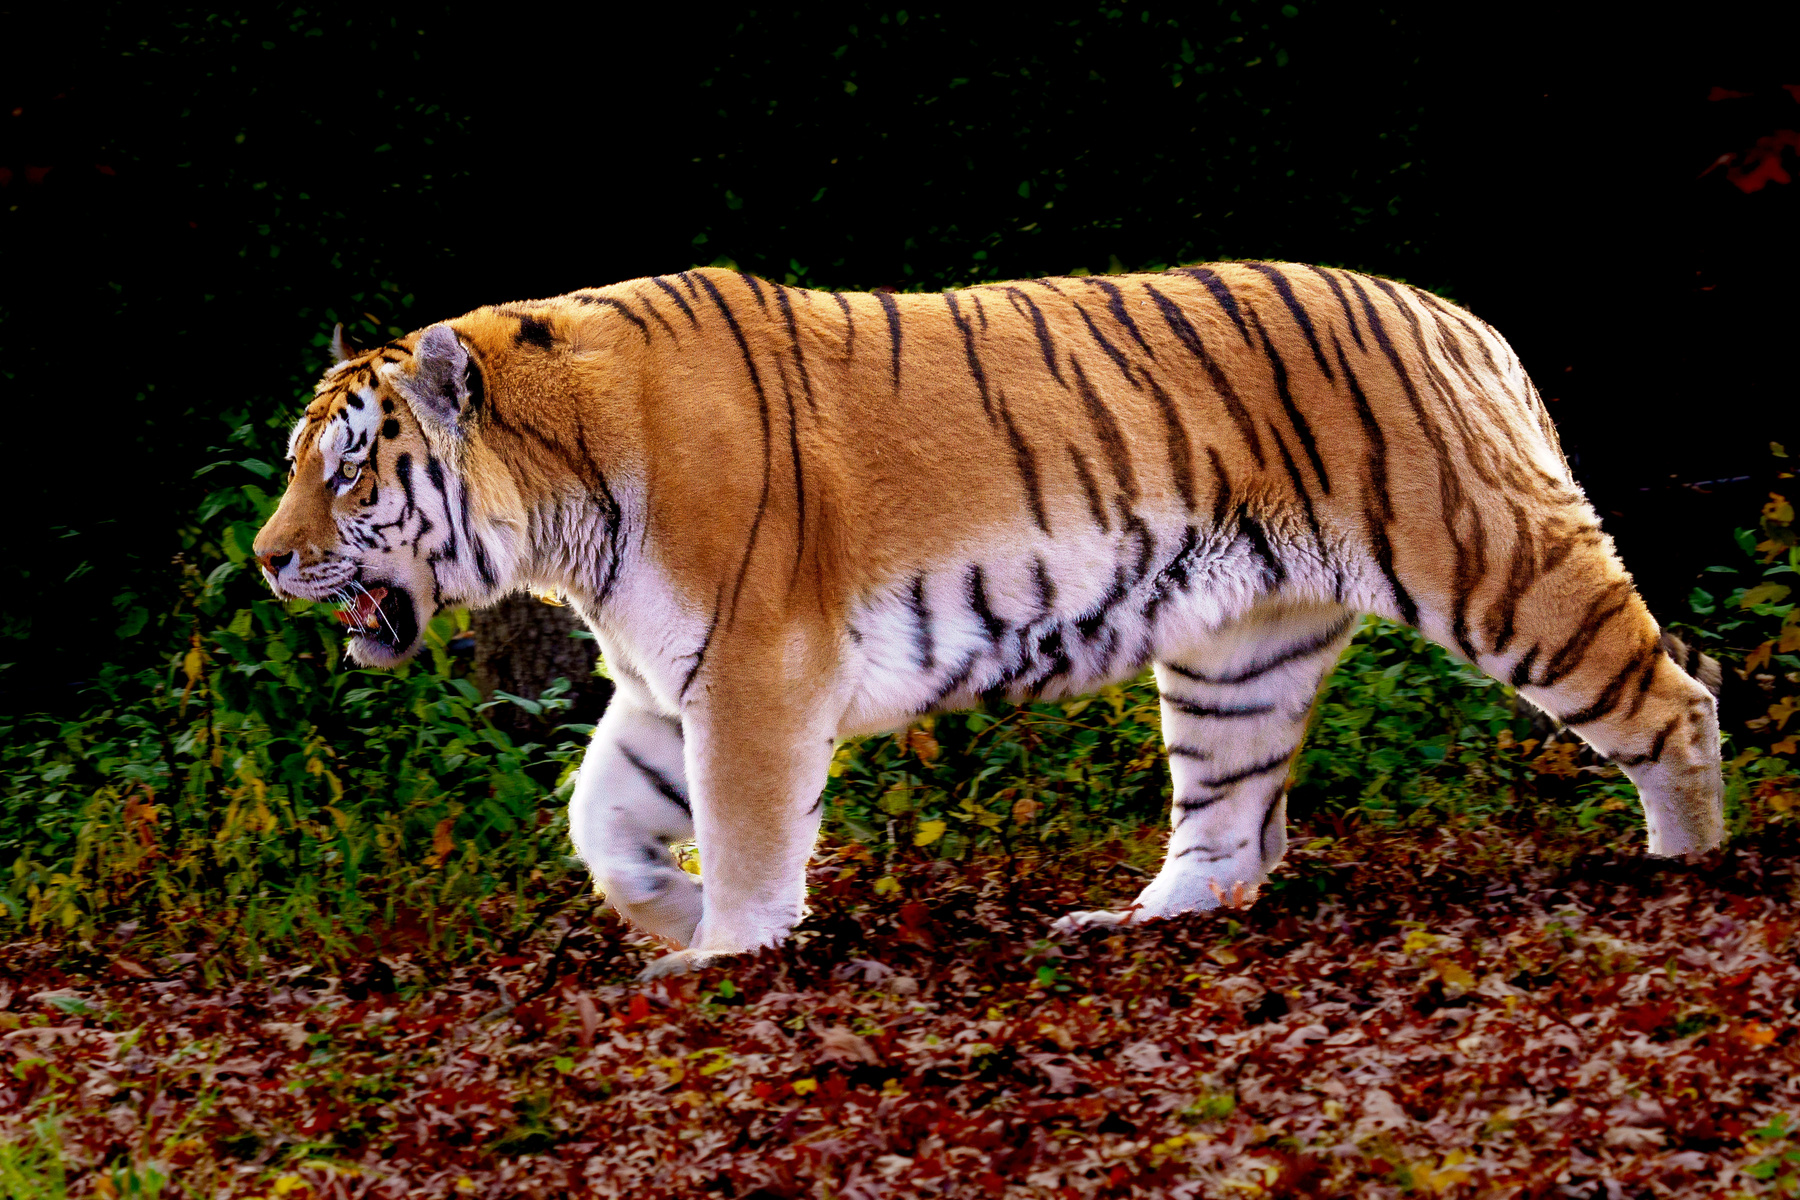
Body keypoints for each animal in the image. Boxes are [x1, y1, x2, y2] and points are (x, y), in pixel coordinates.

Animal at [252, 262, 1725, 977]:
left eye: (352, 472)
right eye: (296, 461)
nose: (267, 562)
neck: (566, 514)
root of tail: (1464, 320)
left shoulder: (754, 671)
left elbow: (744, 829)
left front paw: (725, 952)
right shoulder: (679, 677)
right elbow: (602, 819)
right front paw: (670, 917)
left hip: (1491, 565)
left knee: (1672, 699)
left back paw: (1687, 869)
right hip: (1236, 656)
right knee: (1229, 830)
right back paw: (1128, 925)